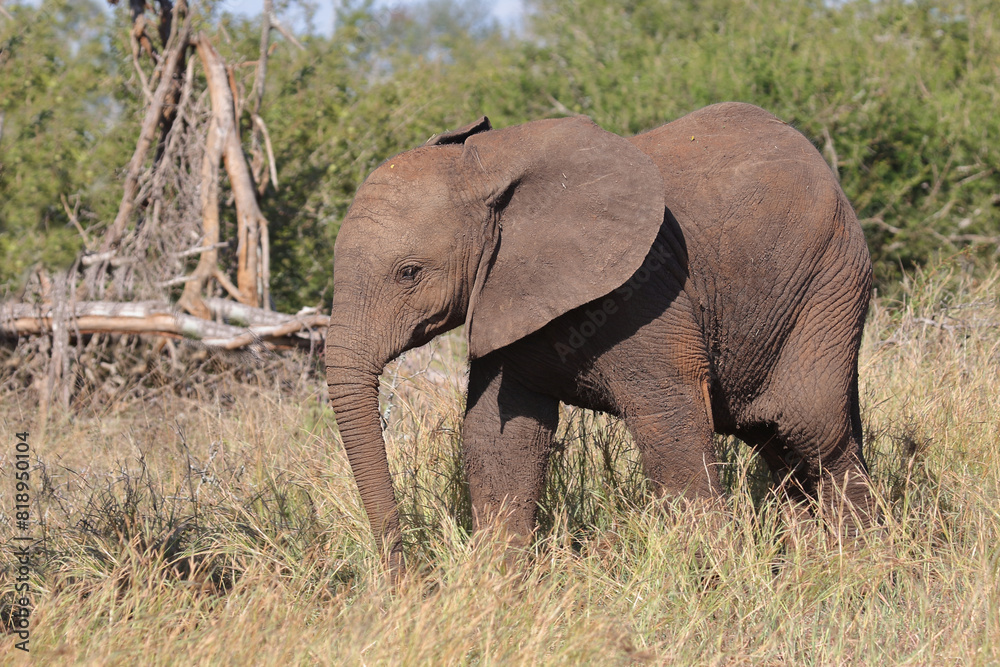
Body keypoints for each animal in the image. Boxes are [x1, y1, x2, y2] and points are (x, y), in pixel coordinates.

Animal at [325, 102, 874, 570]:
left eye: (409, 273)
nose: (408, 580)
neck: (490, 168)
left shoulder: (646, 291)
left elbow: (669, 424)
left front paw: (710, 577)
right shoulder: (506, 290)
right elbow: (499, 439)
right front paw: (496, 587)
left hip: (829, 278)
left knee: (811, 426)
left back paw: (859, 563)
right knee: (772, 436)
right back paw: (810, 560)